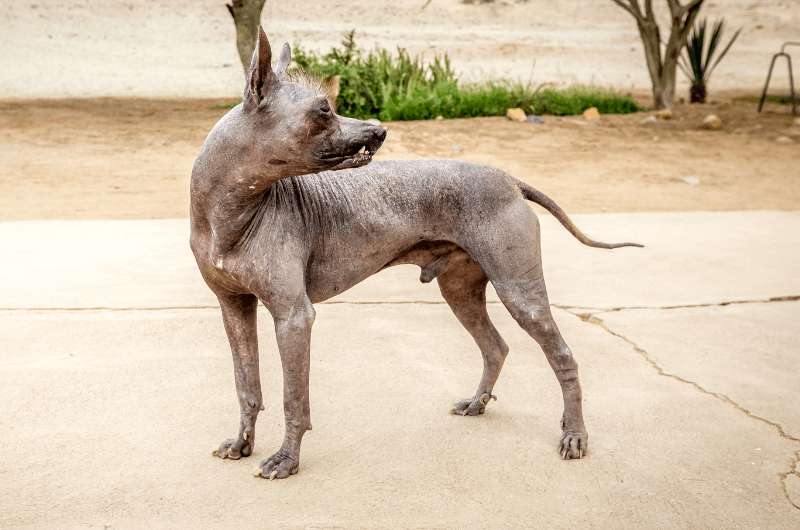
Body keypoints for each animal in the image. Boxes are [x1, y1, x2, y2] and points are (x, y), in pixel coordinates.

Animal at [189, 26, 644, 476]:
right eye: (322, 111)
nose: (379, 130)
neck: (232, 213)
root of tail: (509, 178)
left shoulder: (294, 317)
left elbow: (293, 399)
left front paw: (286, 459)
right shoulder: (234, 308)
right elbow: (246, 385)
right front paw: (241, 443)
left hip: (519, 292)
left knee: (563, 357)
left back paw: (574, 436)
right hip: (460, 290)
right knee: (495, 346)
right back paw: (478, 403)